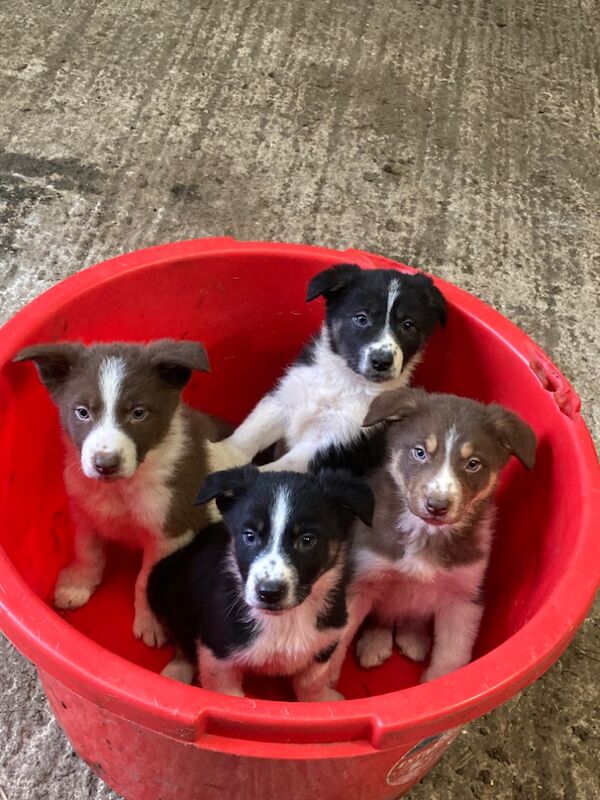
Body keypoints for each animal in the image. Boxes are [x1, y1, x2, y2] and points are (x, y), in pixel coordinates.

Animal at [15, 340, 232, 648]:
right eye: (82, 412)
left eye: (138, 413)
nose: (104, 464)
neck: (119, 489)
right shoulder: (84, 511)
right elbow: (88, 552)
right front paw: (79, 584)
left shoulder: (171, 532)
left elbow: (145, 580)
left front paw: (149, 621)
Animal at [148, 466, 372, 704]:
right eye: (249, 536)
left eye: (307, 540)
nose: (269, 593)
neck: (286, 620)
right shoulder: (218, 651)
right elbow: (228, 693)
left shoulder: (326, 639)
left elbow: (311, 682)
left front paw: (321, 702)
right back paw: (176, 673)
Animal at [216, 262, 446, 476]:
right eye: (361, 318)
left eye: (408, 325)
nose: (381, 361)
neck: (344, 381)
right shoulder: (285, 397)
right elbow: (250, 433)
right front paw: (221, 456)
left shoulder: (335, 444)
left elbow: (277, 470)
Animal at [350, 388, 536, 680]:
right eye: (419, 452)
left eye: (473, 464)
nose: (437, 506)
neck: (427, 534)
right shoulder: (360, 579)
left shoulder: (465, 596)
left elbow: (451, 657)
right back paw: (375, 643)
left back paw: (413, 638)